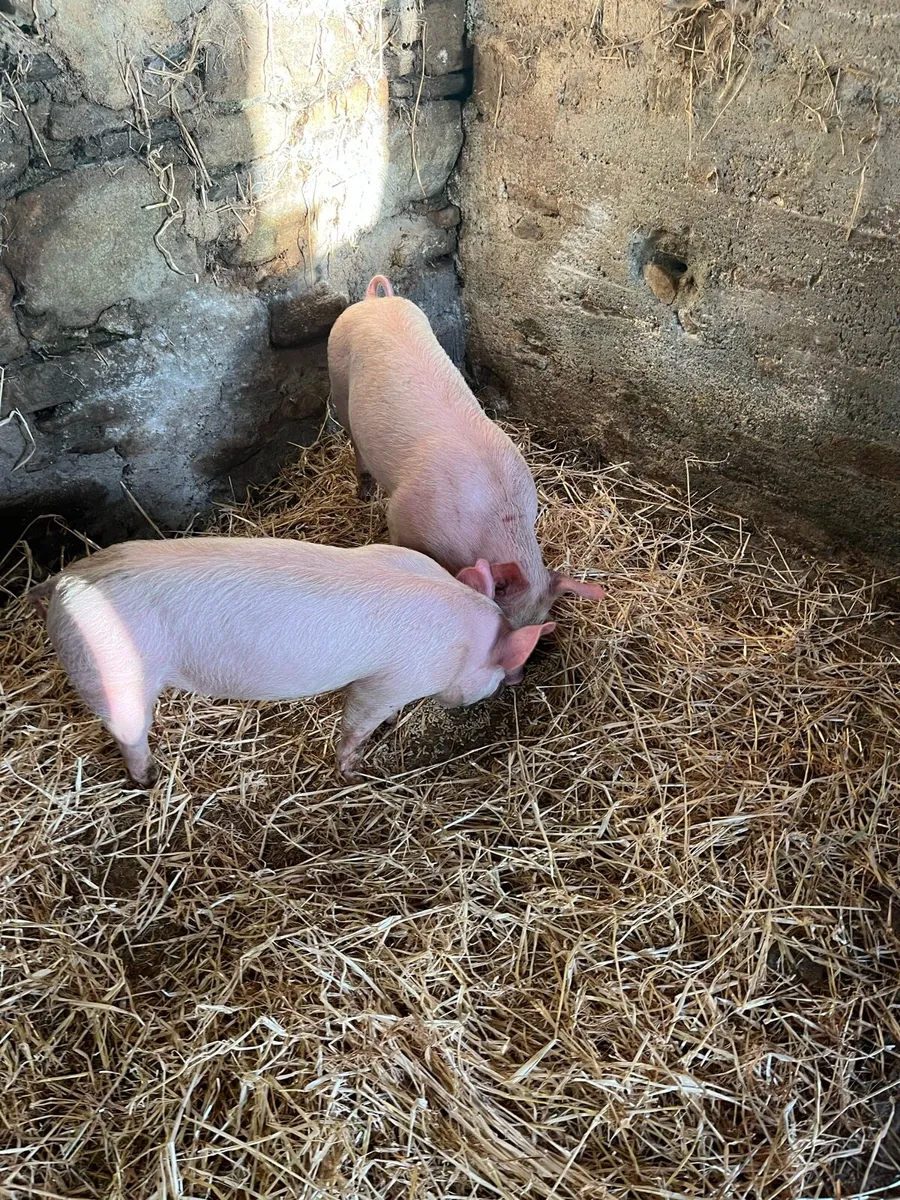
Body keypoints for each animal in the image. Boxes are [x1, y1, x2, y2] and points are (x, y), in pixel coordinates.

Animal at [29, 538, 553, 787]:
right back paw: (150, 779)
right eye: (496, 675)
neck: (466, 638)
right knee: (129, 732)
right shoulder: (391, 680)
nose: (511, 685)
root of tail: (65, 582)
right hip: (111, 672)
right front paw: (353, 773)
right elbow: (358, 721)